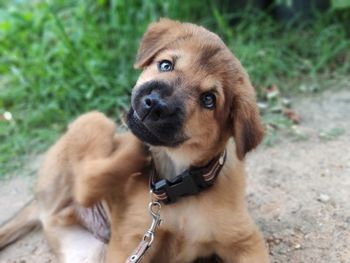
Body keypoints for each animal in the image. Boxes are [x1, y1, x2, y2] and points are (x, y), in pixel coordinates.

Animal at [0, 19, 270, 263]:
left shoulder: (246, 241)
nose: (155, 104)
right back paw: (133, 145)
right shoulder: (127, 242)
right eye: (165, 64)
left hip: (88, 251)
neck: (177, 185)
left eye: (209, 100)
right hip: (95, 119)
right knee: (86, 180)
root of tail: (38, 204)